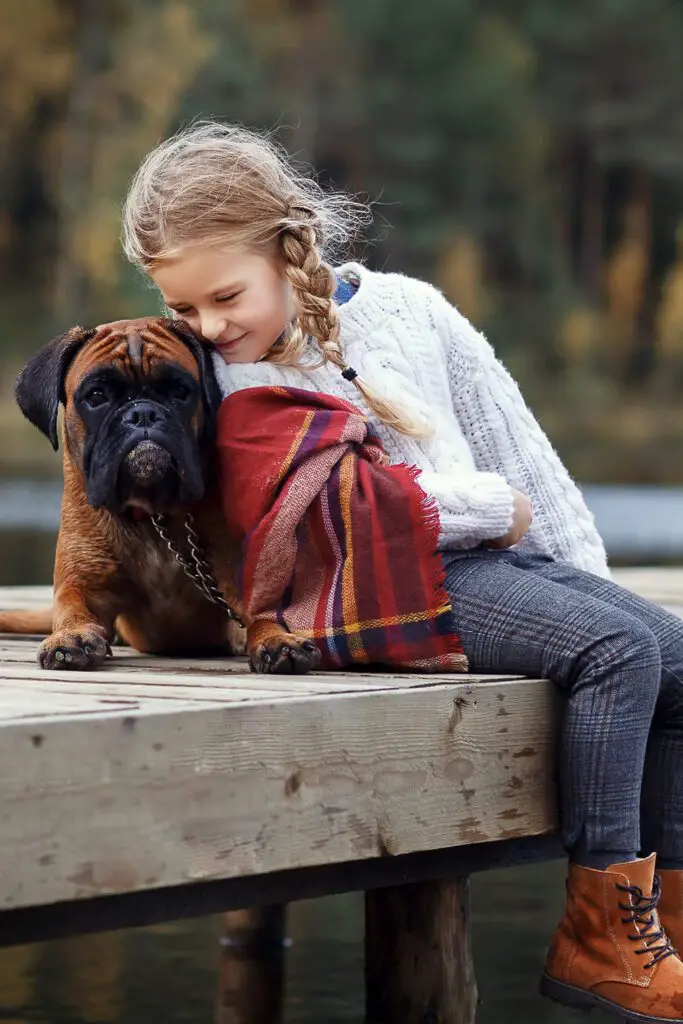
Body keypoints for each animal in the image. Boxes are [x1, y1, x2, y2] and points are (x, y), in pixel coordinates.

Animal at [0, 315, 321, 675]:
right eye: (96, 396)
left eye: (179, 391)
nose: (142, 413)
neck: (153, 514)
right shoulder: (80, 585)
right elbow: (72, 611)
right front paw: (70, 636)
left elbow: (261, 616)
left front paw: (278, 639)